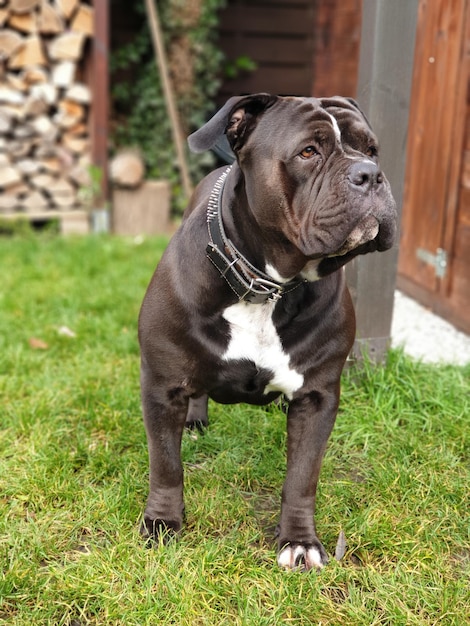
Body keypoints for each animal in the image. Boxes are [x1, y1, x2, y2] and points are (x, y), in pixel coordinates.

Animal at [137, 94, 396, 572]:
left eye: (371, 149)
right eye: (308, 152)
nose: (369, 173)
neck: (268, 286)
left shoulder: (317, 397)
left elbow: (302, 478)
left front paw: (300, 541)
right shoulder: (162, 386)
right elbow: (165, 464)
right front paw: (162, 523)